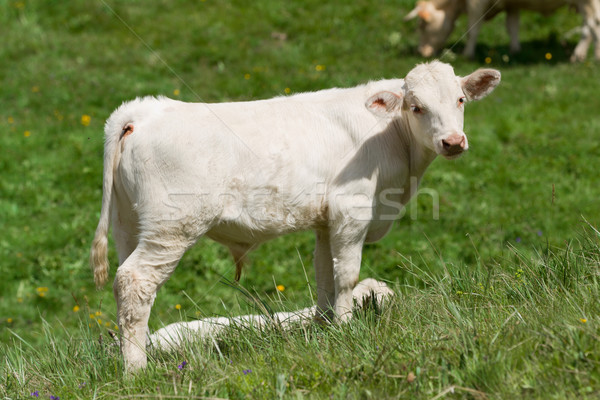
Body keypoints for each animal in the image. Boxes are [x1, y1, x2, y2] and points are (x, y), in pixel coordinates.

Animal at [90, 60, 502, 372]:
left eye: (460, 99)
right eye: (416, 106)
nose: (453, 141)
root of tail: (142, 110)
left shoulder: (325, 221)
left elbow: (324, 274)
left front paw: (325, 328)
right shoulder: (351, 209)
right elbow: (347, 274)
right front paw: (347, 328)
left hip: (129, 224)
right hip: (173, 226)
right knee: (135, 281)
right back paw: (137, 370)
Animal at [406, 0, 600, 61]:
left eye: (421, 25)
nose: (421, 51)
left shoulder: (475, 4)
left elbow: (472, 30)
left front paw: (467, 54)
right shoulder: (512, 6)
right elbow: (512, 27)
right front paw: (515, 50)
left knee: (594, 23)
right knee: (588, 27)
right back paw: (579, 55)